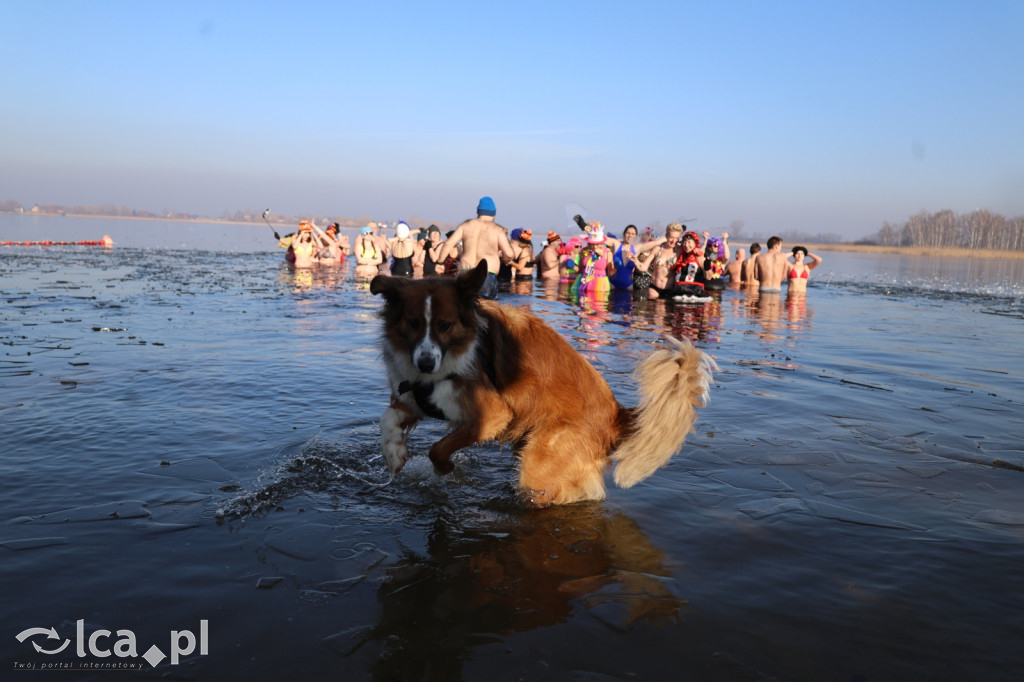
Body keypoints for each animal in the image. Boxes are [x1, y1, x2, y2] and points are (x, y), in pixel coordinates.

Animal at [372, 260, 716, 503]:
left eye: (445, 325)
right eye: (413, 323)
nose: (426, 363)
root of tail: (616, 414)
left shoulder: (492, 415)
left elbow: (438, 449)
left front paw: (443, 470)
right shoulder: (412, 395)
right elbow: (386, 418)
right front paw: (394, 455)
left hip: (542, 460)